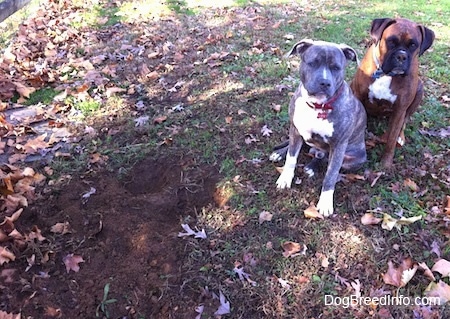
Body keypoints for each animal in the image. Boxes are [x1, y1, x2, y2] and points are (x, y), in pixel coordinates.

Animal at [276, 38, 368, 216]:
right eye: (312, 63)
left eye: (336, 67)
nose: (325, 83)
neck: (318, 106)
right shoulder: (295, 131)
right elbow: (291, 157)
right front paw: (285, 178)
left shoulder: (339, 145)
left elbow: (331, 174)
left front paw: (325, 202)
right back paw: (279, 153)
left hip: (353, 159)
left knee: (325, 158)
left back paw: (312, 166)